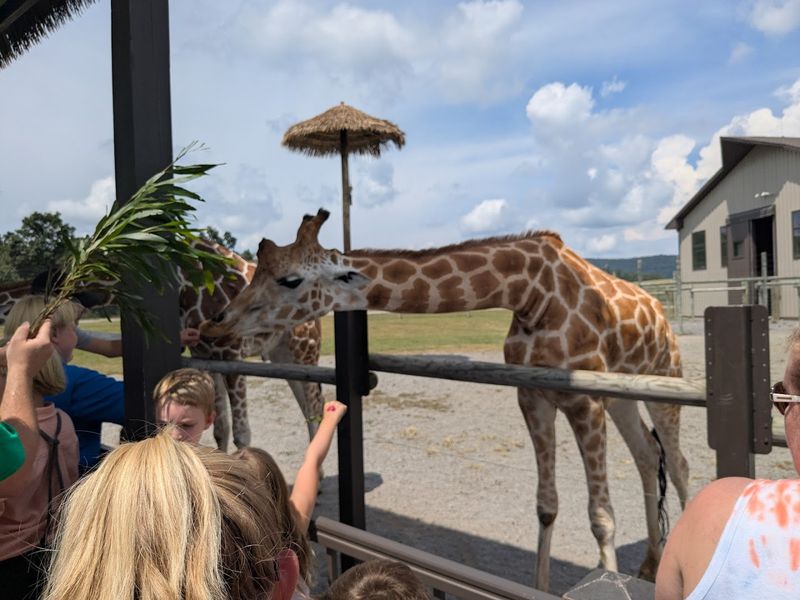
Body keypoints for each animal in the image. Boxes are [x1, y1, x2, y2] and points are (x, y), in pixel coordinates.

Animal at [0, 242, 326, 451]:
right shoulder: (207, 354)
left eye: (105, 257)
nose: (48, 280)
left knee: (316, 407)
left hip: (304, 349)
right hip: (281, 353)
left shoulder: (231, 353)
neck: (191, 288)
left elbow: (242, 435)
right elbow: (220, 429)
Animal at [200, 209, 689, 591]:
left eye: (290, 280)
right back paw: (649, 563)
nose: (217, 322)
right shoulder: (532, 395)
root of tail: (662, 311)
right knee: (647, 455)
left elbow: (600, 515)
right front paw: (540, 585)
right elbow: (547, 506)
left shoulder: (583, 400)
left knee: (679, 463)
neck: (531, 294)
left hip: (662, 376)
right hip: (621, 394)